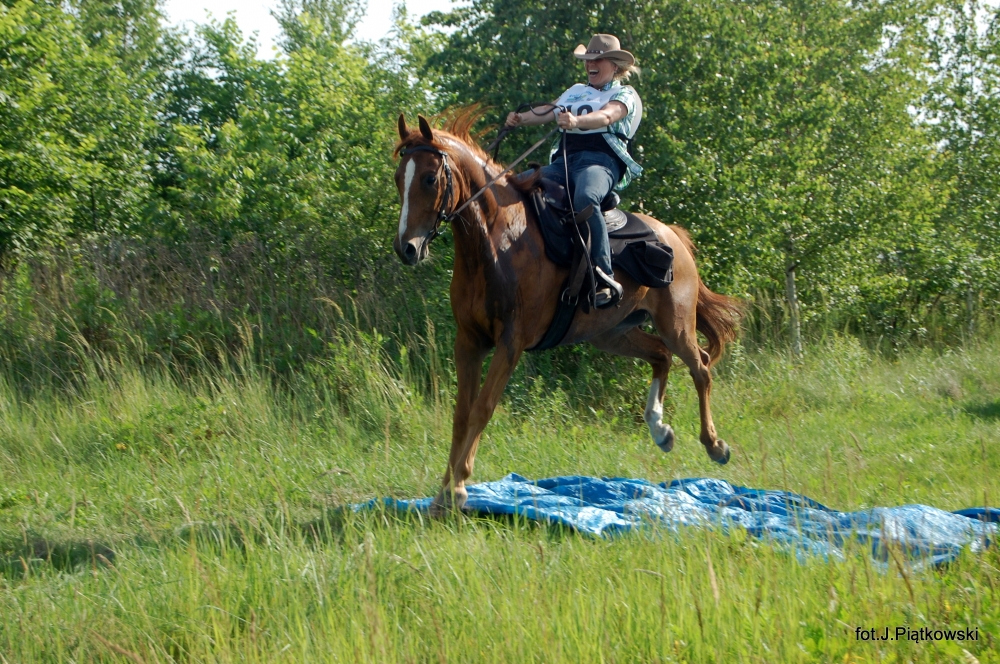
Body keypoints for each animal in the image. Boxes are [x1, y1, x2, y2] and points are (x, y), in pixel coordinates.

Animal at [393, 110, 743, 512]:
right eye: (398, 178)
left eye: (429, 178)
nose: (406, 248)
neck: (497, 242)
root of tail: (673, 236)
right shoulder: (469, 341)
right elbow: (462, 415)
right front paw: (441, 497)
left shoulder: (510, 343)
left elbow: (482, 408)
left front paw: (460, 488)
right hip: (612, 333)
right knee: (660, 356)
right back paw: (660, 430)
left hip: (676, 323)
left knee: (700, 366)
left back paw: (714, 445)